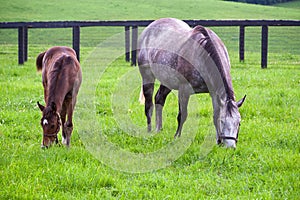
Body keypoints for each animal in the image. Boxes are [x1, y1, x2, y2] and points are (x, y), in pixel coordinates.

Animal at [138, 18, 246, 148]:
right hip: (147, 76)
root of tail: (148, 29)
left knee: (159, 98)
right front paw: (177, 137)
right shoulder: (184, 90)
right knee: (149, 105)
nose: (230, 147)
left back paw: (159, 129)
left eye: (239, 123)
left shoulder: (214, 93)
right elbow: (182, 115)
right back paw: (149, 131)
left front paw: (218, 141)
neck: (203, 55)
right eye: (223, 121)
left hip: (167, 81)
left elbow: (215, 115)